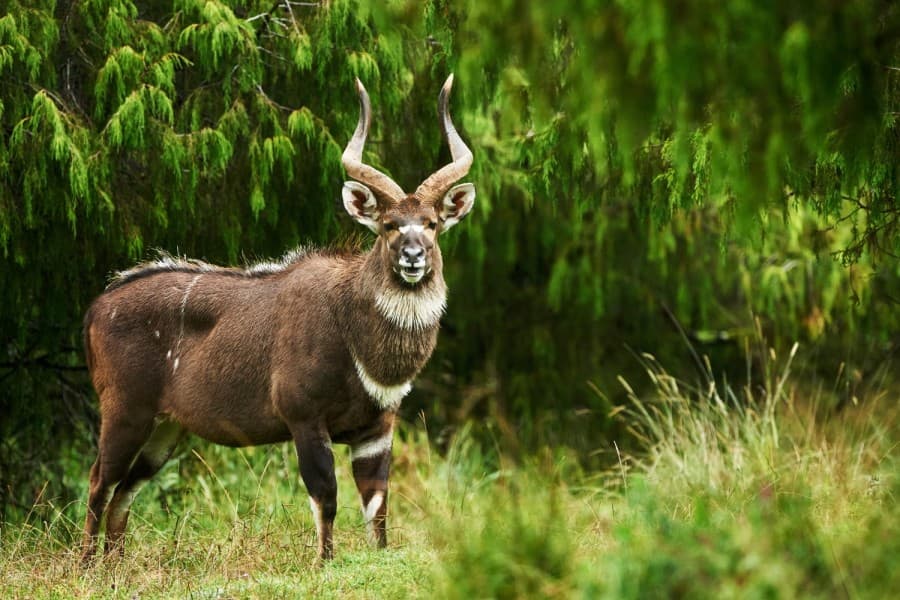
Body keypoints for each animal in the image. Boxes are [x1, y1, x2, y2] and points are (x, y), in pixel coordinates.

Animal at [80, 75, 475, 564]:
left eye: (433, 223)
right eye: (388, 225)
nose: (413, 257)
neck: (355, 333)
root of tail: (96, 308)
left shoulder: (377, 428)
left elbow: (378, 509)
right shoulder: (303, 417)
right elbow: (326, 497)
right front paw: (324, 564)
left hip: (164, 429)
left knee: (124, 491)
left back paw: (112, 566)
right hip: (124, 411)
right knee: (99, 481)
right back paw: (85, 567)